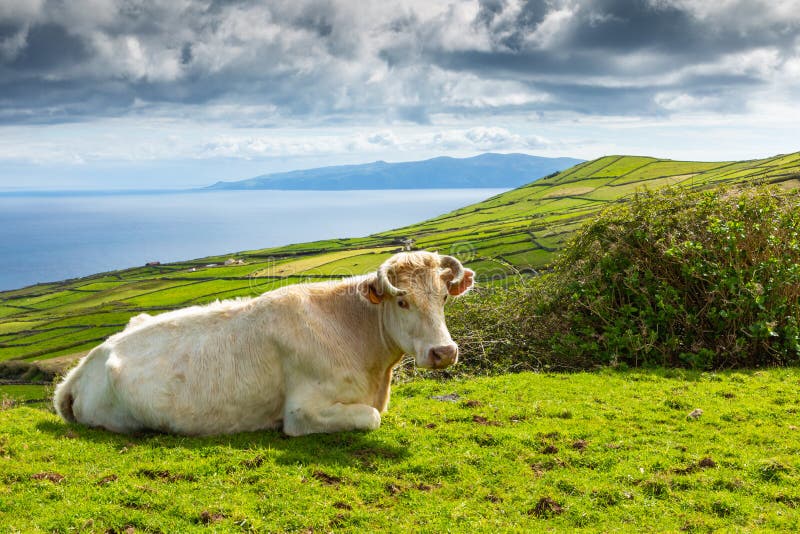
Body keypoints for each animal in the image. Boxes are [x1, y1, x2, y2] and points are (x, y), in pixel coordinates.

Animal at [51, 253, 476, 438]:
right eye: (402, 301)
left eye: (443, 297)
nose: (444, 352)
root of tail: (85, 364)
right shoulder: (302, 412)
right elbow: (371, 417)